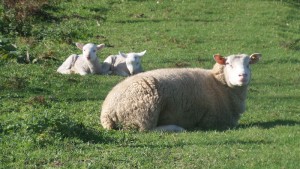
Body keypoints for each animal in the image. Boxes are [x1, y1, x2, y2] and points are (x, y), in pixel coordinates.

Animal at [99, 52, 262, 132]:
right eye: (228, 64)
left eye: (249, 64)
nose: (243, 76)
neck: (219, 84)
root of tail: (107, 111)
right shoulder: (213, 121)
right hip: (143, 111)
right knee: (147, 130)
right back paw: (176, 128)